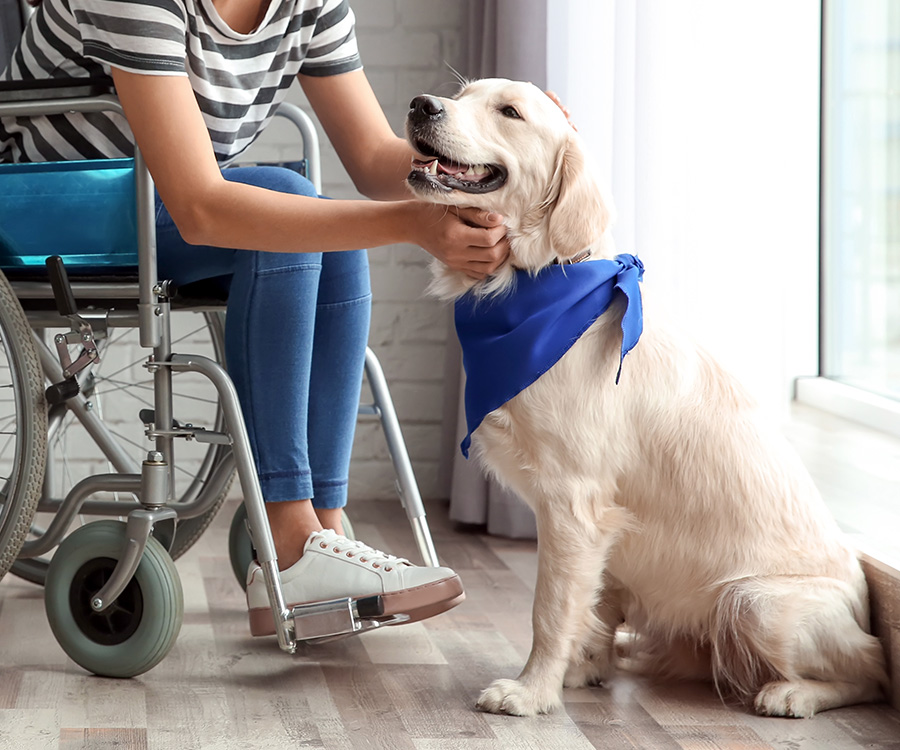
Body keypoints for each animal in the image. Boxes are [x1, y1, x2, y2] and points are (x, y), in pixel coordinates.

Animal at [404, 79, 888, 720]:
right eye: (463, 94)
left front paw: (532, 691)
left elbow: (550, 610)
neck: (538, 285)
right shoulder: (602, 525)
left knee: (874, 669)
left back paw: (792, 693)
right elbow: (593, 606)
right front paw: (580, 671)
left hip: (753, 601)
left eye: (509, 112)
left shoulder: (574, 504)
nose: (421, 105)